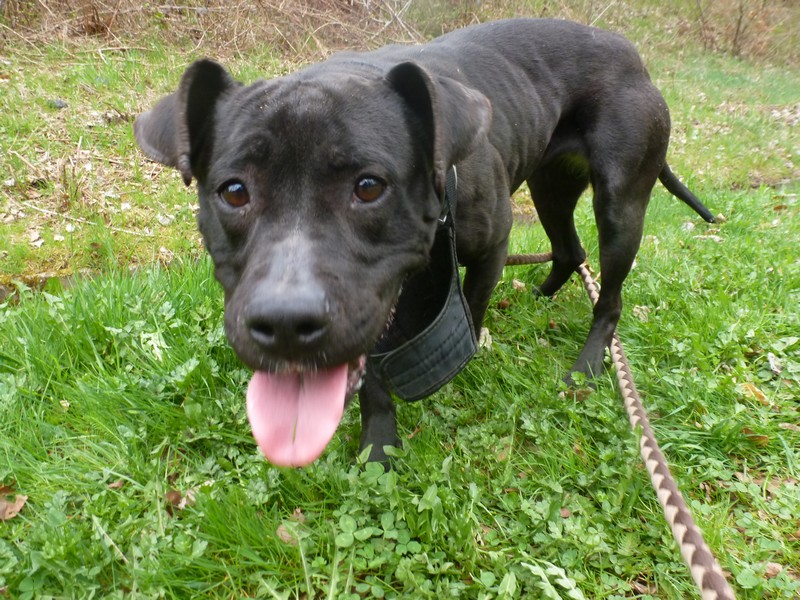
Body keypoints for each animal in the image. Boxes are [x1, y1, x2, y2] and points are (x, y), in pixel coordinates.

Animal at [134, 18, 716, 466]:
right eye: (234, 191)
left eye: (369, 186)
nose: (284, 325)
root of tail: (633, 55)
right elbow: (372, 378)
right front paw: (378, 446)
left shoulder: (491, 249)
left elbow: (471, 311)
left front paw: (463, 359)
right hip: (551, 187)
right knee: (570, 250)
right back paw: (543, 295)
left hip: (620, 203)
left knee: (609, 295)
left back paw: (590, 363)